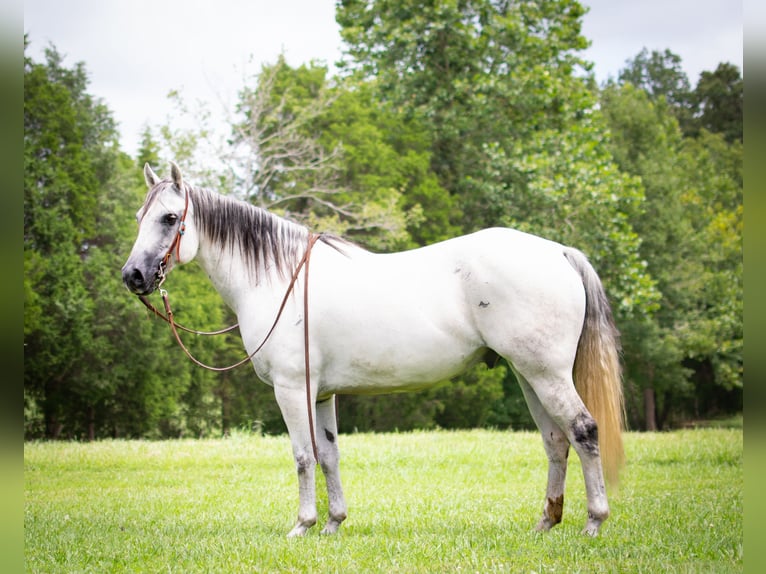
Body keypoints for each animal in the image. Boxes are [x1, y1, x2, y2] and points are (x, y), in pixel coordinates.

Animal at [123, 162, 628, 540]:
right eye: (139, 218)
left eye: (169, 219)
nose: (133, 276)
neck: (279, 278)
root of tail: (558, 252)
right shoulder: (322, 394)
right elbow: (328, 455)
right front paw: (332, 523)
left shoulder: (292, 390)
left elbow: (302, 456)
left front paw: (302, 525)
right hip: (529, 375)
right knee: (556, 440)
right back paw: (546, 522)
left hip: (547, 374)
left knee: (583, 431)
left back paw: (594, 522)